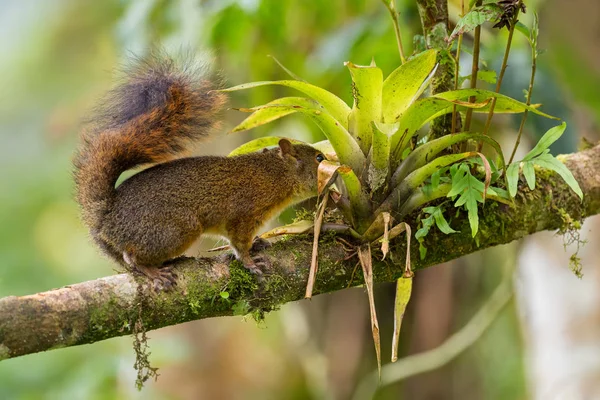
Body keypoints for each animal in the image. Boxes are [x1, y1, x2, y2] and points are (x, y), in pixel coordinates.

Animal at [75, 54, 328, 290]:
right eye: (319, 158)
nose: (334, 171)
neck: (275, 174)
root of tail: (106, 219)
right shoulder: (244, 213)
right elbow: (239, 243)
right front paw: (250, 262)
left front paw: (258, 243)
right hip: (174, 229)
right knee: (132, 257)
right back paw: (151, 271)